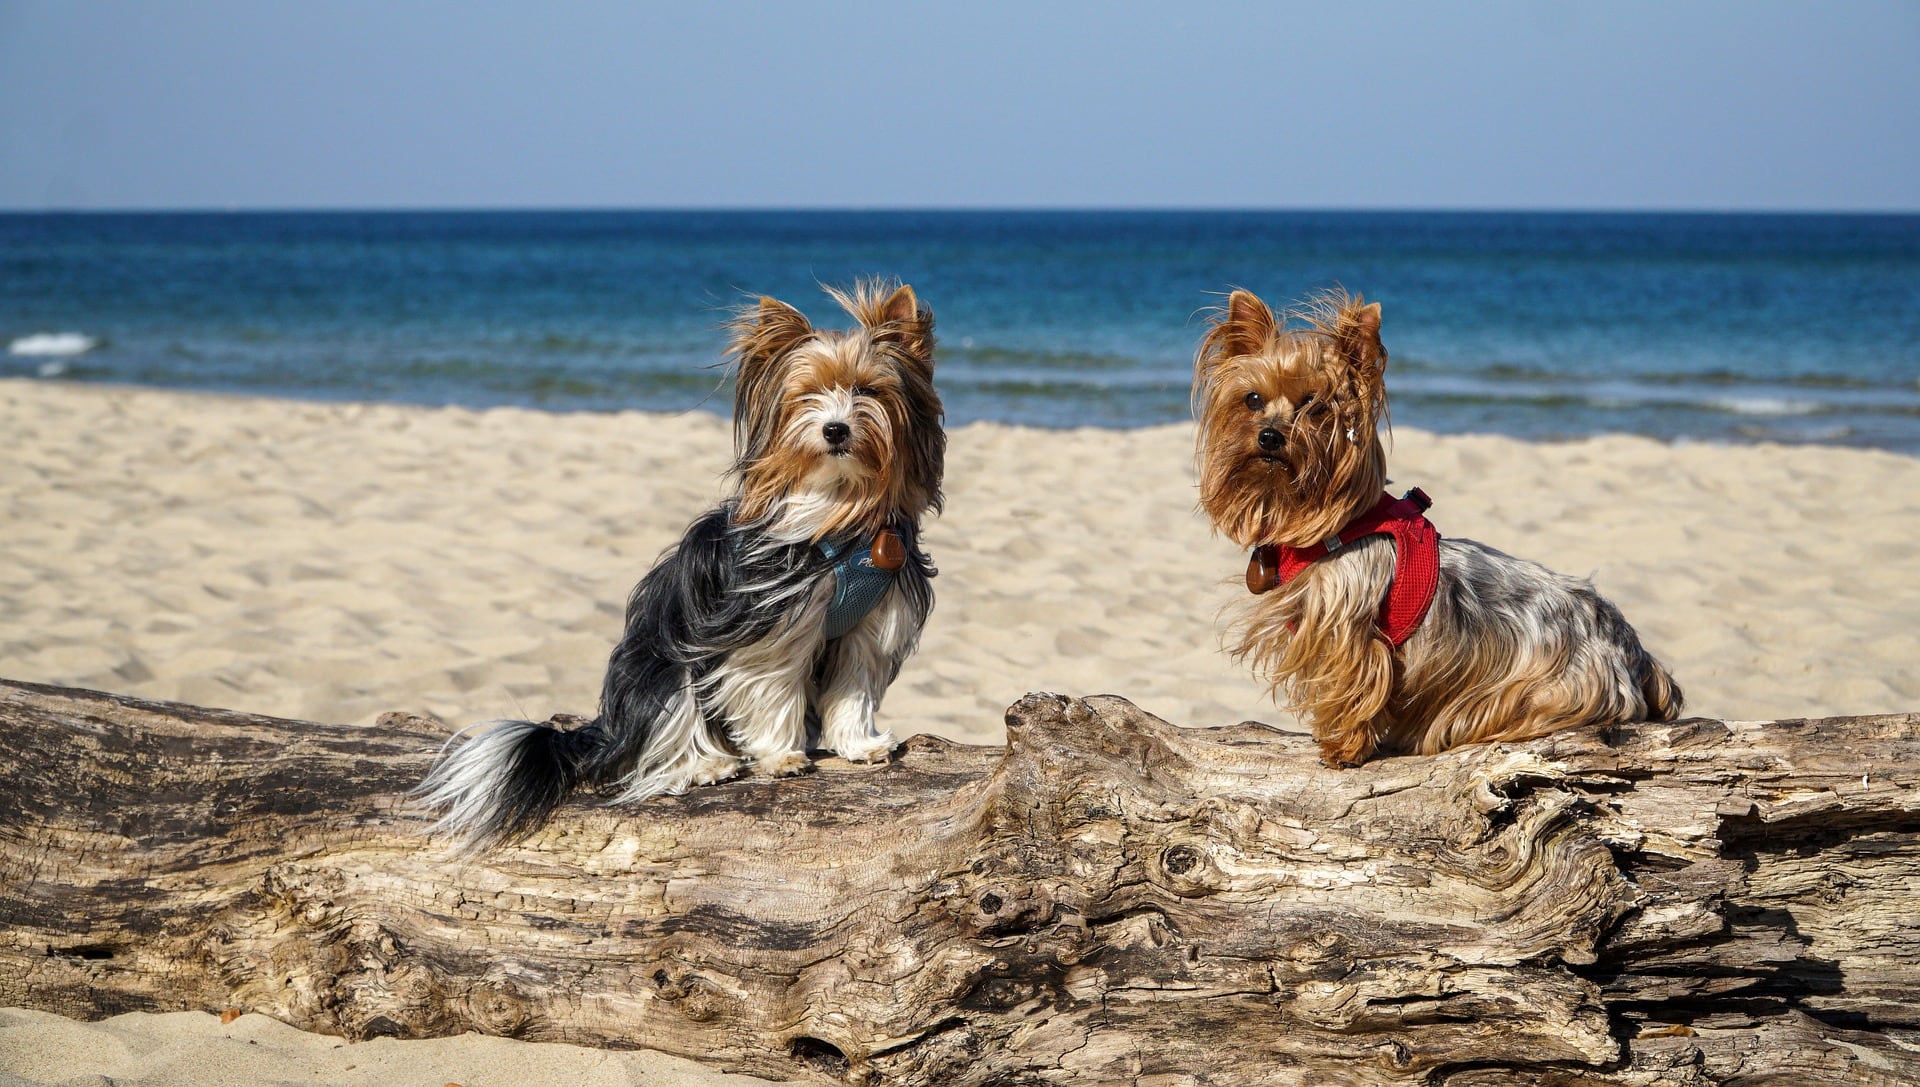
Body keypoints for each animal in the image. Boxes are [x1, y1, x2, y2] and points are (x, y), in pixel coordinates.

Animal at [428, 286, 952, 856]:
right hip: (663, 667)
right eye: (806, 395)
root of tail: (606, 731)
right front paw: (782, 756)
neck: (839, 508)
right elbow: (772, 688)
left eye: (867, 390)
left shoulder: (872, 622)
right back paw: (705, 766)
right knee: (657, 742)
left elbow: (855, 684)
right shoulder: (767, 626)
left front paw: (860, 745)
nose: (835, 429)